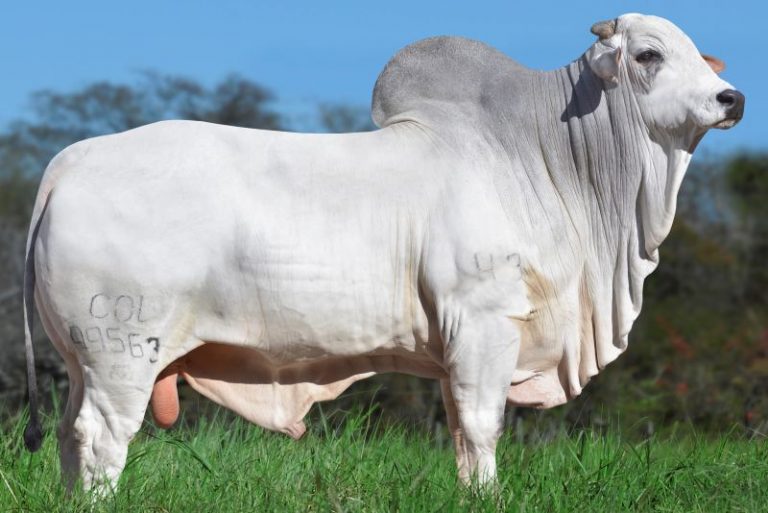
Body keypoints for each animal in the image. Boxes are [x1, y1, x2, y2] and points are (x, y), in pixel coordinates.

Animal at [21, 13, 740, 492]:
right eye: (648, 54)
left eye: (698, 58)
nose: (730, 98)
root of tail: (72, 160)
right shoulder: (484, 322)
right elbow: (483, 427)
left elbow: (462, 435)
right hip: (122, 350)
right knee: (101, 439)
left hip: (83, 359)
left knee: (68, 437)